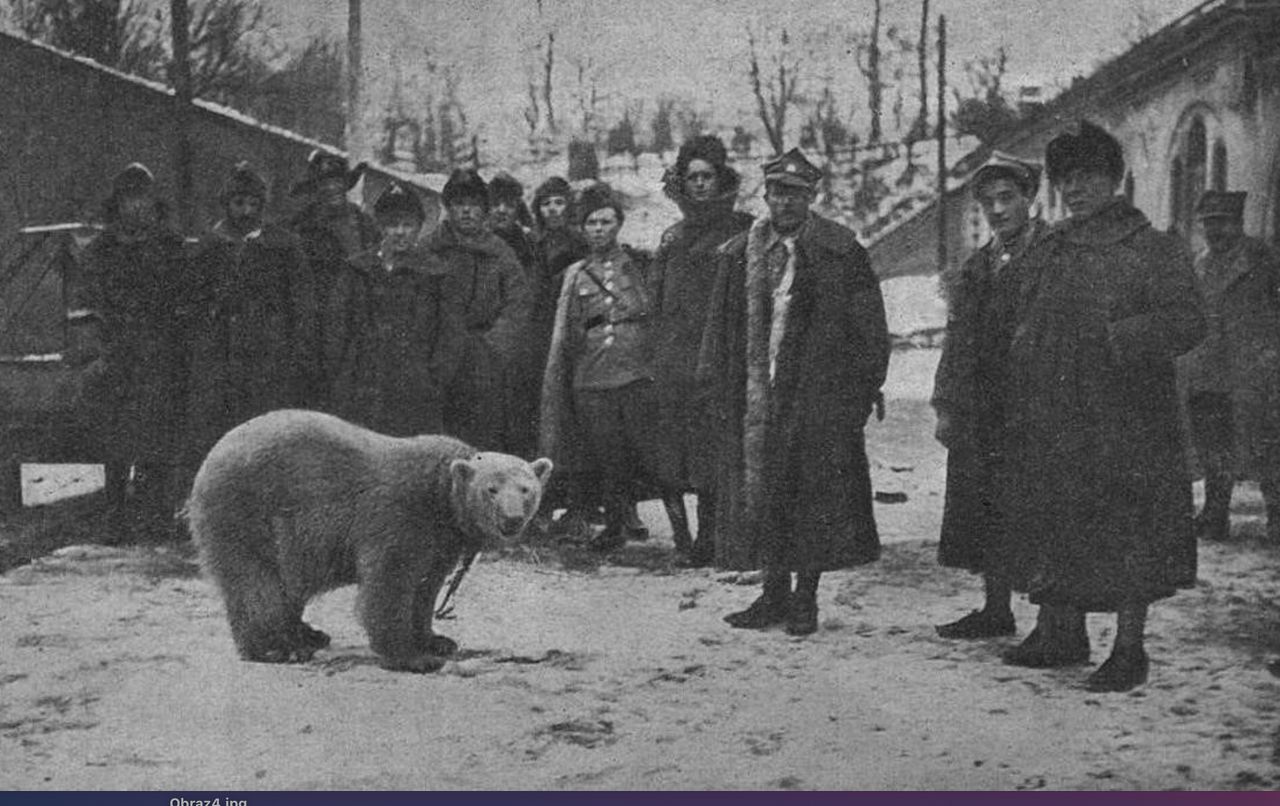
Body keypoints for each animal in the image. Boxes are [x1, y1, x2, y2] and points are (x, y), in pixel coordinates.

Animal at [184, 409, 550, 675]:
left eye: (526, 489)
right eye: (492, 489)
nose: (512, 519)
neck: (441, 496)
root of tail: (207, 461)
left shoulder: (442, 540)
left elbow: (426, 587)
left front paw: (437, 640)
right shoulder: (400, 515)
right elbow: (389, 584)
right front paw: (413, 658)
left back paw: (309, 633)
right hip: (245, 511)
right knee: (256, 582)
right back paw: (277, 648)